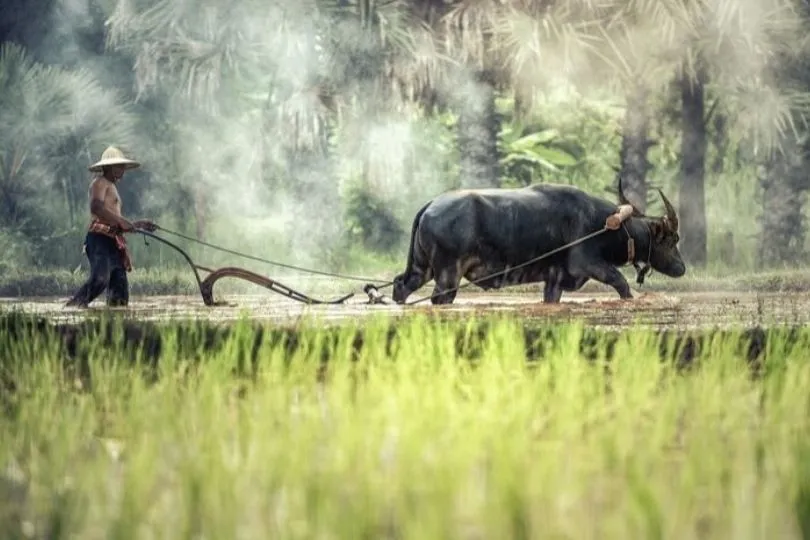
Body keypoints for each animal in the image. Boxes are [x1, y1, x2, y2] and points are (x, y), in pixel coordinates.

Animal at [390, 180, 680, 304]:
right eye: (671, 240)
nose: (681, 267)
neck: (605, 225)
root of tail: (430, 205)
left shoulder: (555, 280)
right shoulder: (588, 264)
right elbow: (621, 283)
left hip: (421, 268)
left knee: (401, 286)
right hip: (448, 275)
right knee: (439, 297)